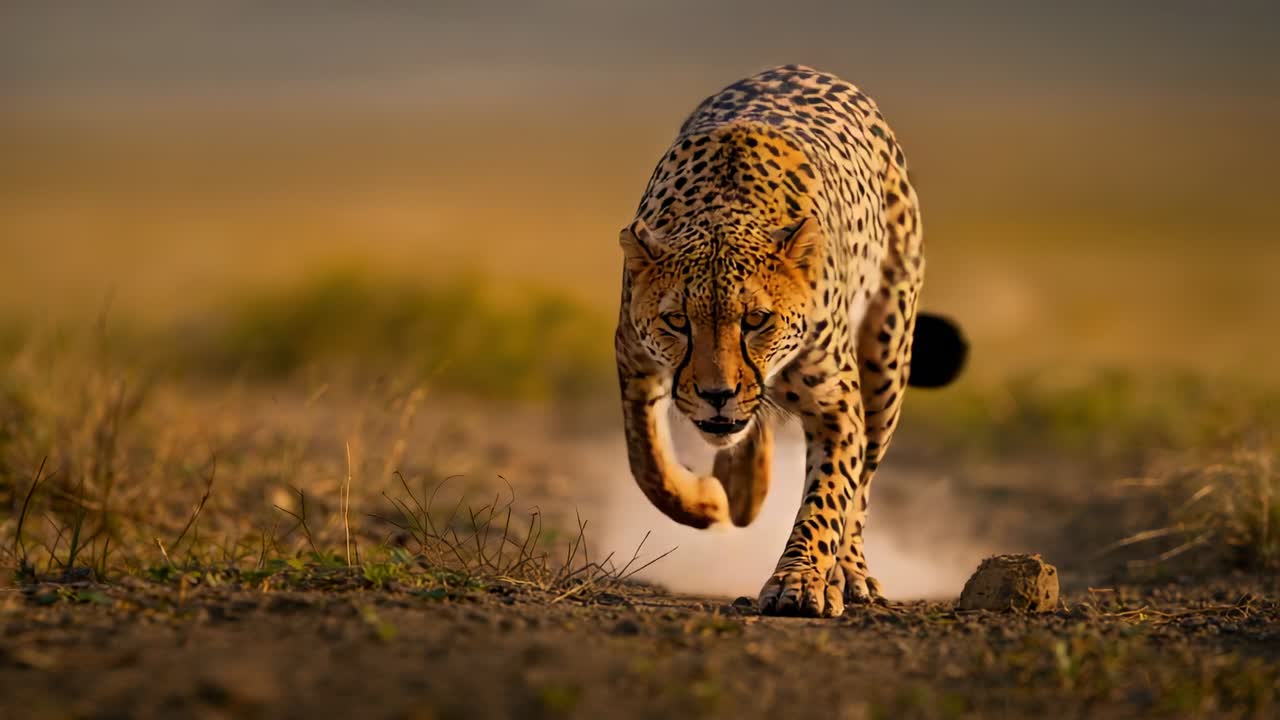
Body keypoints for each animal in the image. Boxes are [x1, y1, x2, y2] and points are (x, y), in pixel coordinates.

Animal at [615, 64, 966, 618]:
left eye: (757, 320)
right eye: (677, 322)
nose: (717, 394)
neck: (723, 211)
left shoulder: (837, 404)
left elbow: (829, 497)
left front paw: (799, 580)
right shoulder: (634, 363)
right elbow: (647, 463)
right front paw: (706, 501)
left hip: (885, 363)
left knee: (863, 484)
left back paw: (852, 572)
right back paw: (742, 490)